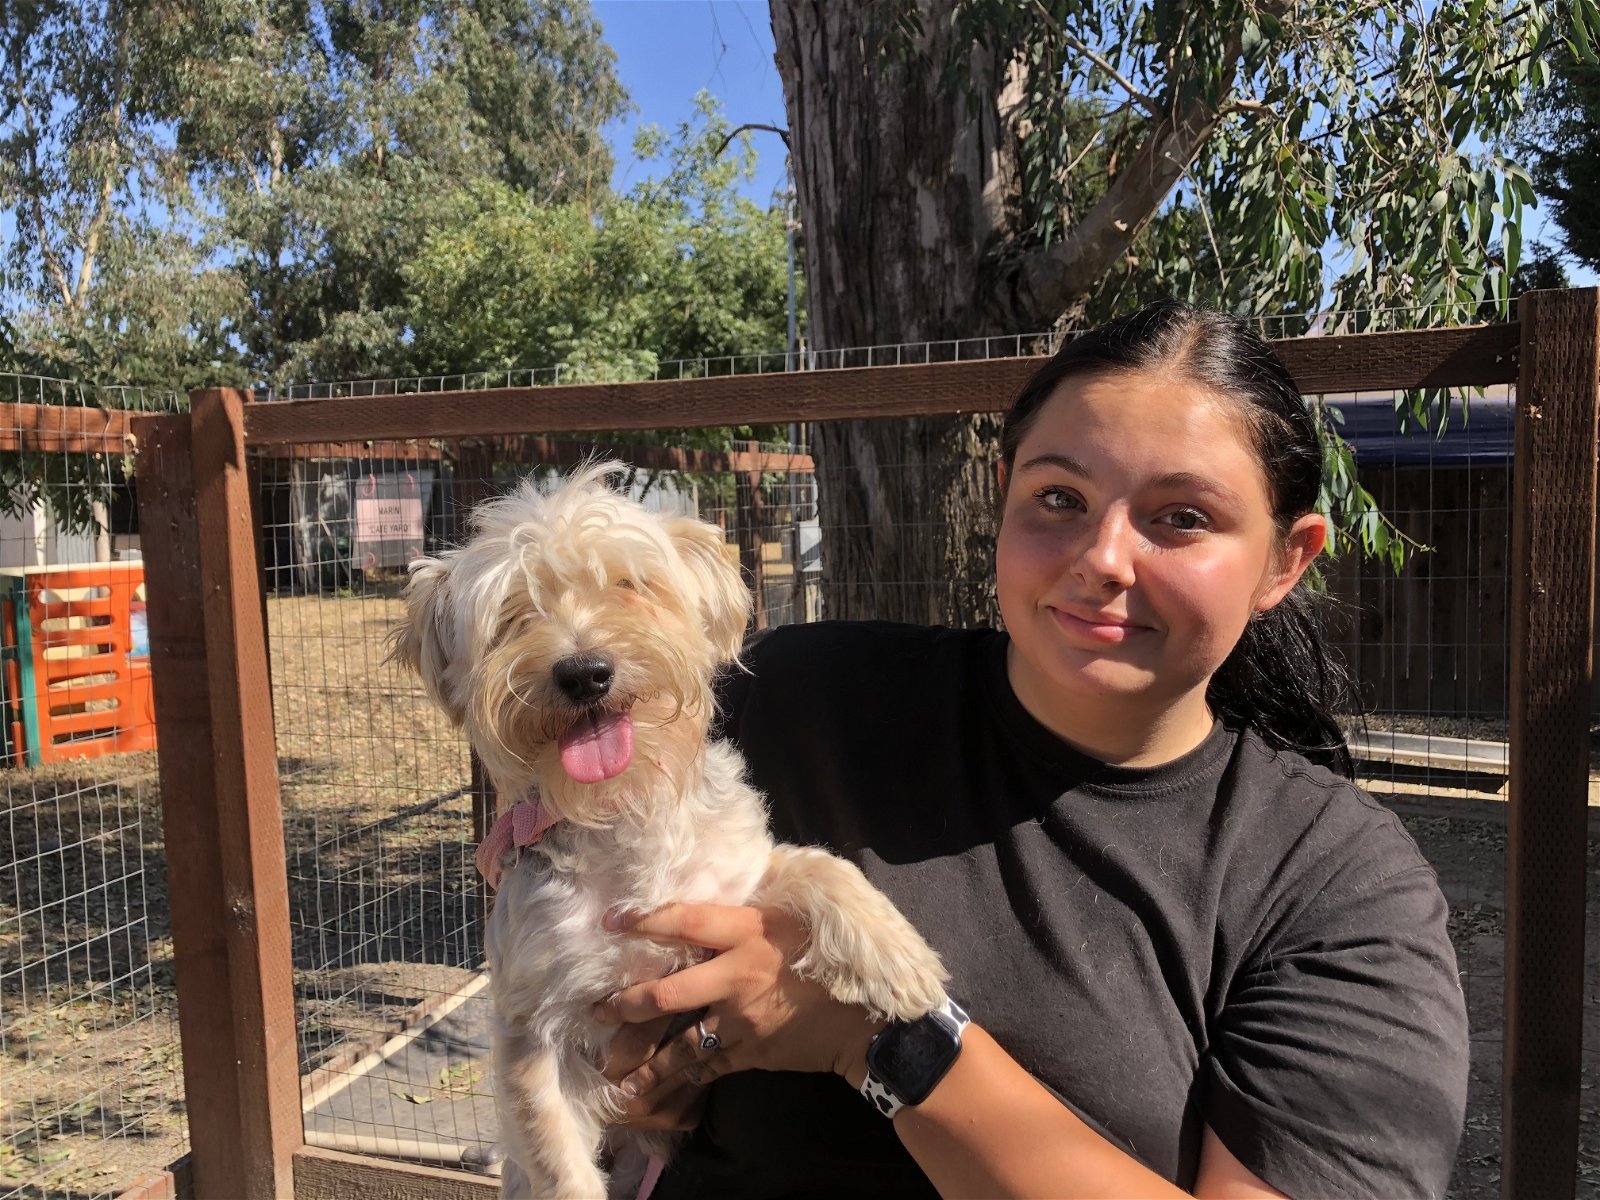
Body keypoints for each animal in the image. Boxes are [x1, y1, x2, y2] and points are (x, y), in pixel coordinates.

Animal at [393, 464, 947, 1196]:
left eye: (630, 585)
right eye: (514, 613)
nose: (584, 673)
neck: (622, 810)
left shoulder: (732, 887)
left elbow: (821, 864)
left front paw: (899, 959)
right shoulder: (530, 1027)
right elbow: (558, 1161)